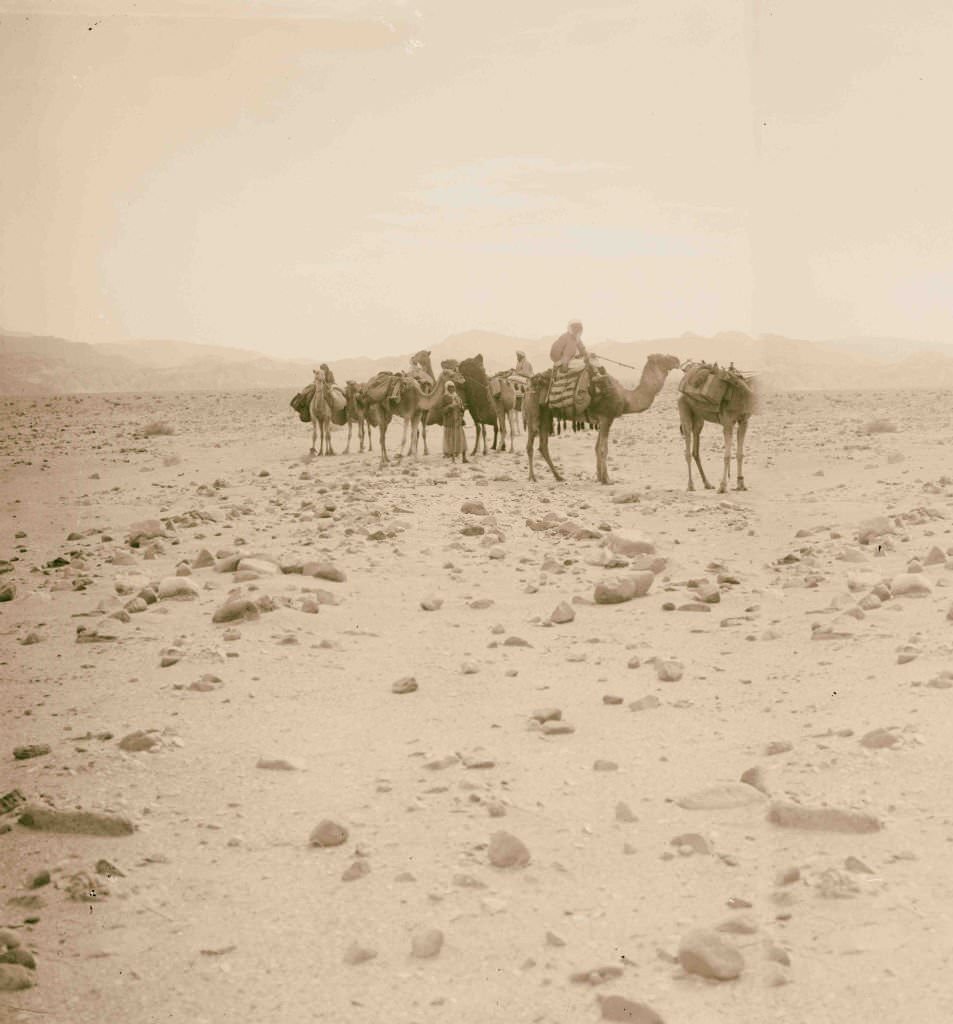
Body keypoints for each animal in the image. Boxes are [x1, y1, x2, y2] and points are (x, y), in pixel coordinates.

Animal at [522, 354, 683, 485]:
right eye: (662, 357)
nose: (676, 359)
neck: (626, 398)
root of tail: (529, 384)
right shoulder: (607, 417)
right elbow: (603, 448)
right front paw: (607, 480)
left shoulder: (602, 420)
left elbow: (596, 447)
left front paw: (600, 477)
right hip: (533, 410)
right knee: (530, 443)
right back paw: (532, 477)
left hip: (546, 414)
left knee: (543, 445)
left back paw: (559, 476)